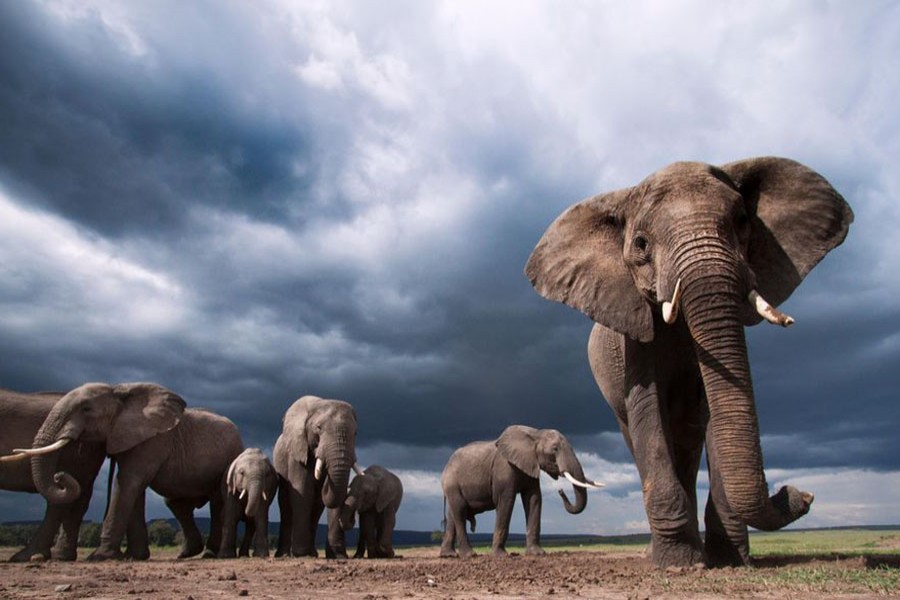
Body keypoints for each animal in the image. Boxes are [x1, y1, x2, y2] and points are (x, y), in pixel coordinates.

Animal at [16, 382, 245, 561]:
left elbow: (128, 482)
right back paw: (188, 553)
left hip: (229, 458)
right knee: (175, 504)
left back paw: (209, 554)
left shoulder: (153, 441)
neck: (119, 392)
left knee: (216, 502)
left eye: (86, 409)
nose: (59, 476)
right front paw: (134, 556)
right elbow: (134, 488)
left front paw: (100, 556)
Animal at [273, 395, 361, 558]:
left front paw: (338, 556)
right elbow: (303, 492)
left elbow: (334, 495)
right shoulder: (297, 453)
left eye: (355, 433)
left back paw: (312, 553)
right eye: (318, 428)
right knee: (286, 505)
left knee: (317, 507)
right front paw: (301, 554)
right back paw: (285, 555)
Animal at [440, 425, 602, 558]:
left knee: (453, 515)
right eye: (555, 449)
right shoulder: (504, 469)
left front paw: (537, 553)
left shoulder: (531, 465)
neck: (535, 434)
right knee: (460, 511)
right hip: (452, 483)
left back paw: (448, 555)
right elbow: (506, 501)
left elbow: (534, 499)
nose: (561, 490)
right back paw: (469, 555)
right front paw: (500, 556)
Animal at [525, 157, 853, 568]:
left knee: (688, 446)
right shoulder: (633, 340)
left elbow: (717, 412)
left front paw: (729, 561)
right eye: (641, 243)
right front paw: (679, 564)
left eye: (742, 221)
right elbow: (648, 411)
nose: (801, 494)